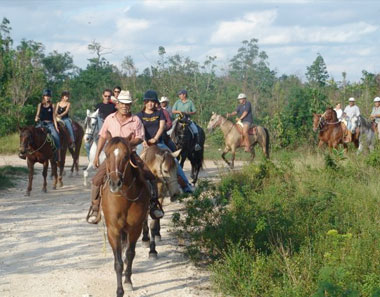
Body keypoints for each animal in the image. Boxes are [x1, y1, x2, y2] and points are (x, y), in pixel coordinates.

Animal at [101, 137, 151, 296]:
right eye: (107, 154)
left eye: (126, 155)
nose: (115, 182)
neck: (123, 199)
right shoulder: (113, 230)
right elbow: (118, 262)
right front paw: (119, 291)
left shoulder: (135, 229)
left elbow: (130, 254)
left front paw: (128, 282)